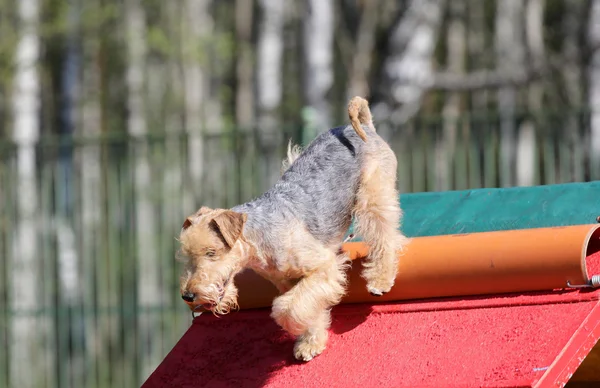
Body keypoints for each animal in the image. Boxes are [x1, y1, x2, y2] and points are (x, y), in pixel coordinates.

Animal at [176, 96, 410, 360]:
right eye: (187, 256)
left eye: (211, 252)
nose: (188, 296)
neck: (260, 239)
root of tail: (363, 127)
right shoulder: (288, 282)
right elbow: (306, 305)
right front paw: (310, 342)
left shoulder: (323, 267)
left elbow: (287, 309)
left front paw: (299, 331)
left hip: (373, 198)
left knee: (386, 238)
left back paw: (380, 280)